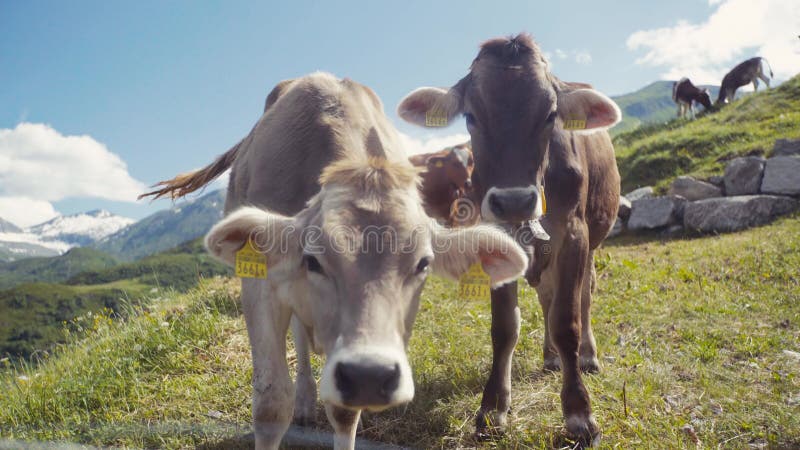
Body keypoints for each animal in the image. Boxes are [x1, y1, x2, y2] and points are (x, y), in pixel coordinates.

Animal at [141, 72, 528, 448]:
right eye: (313, 260)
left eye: (423, 264)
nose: (369, 375)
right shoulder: (260, 285)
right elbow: (270, 404)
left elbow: (343, 413)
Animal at [396, 33, 620, 444]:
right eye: (470, 116)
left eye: (550, 115)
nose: (514, 200)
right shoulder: (497, 235)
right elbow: (504, 327)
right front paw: (493, 408)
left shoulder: (574, 234)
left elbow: (567, 321)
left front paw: (579, 412)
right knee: (547, 296)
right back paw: (550, 357)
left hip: (593, 239)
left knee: (584, 294)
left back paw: (587, 355)